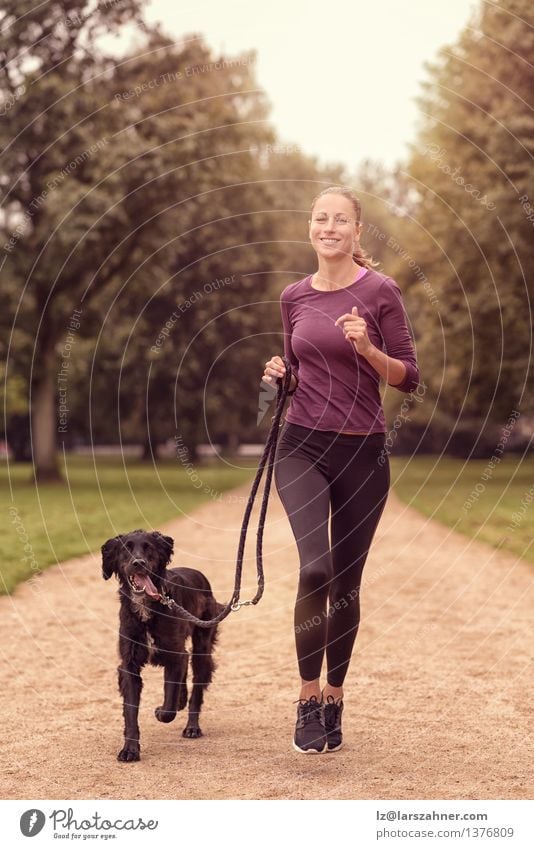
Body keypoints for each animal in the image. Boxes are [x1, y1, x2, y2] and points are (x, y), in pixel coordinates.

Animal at [101, 528, 223, 760]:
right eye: (126, 549)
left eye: (149, 548)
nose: (138, 563)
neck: (147, 608)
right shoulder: (129, 665)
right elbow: (131, 712)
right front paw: (129, 749)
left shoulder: (174, 655)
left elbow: (168, 706)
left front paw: (161, 711)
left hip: (202, 647)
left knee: (196, 687)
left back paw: (192, 727)